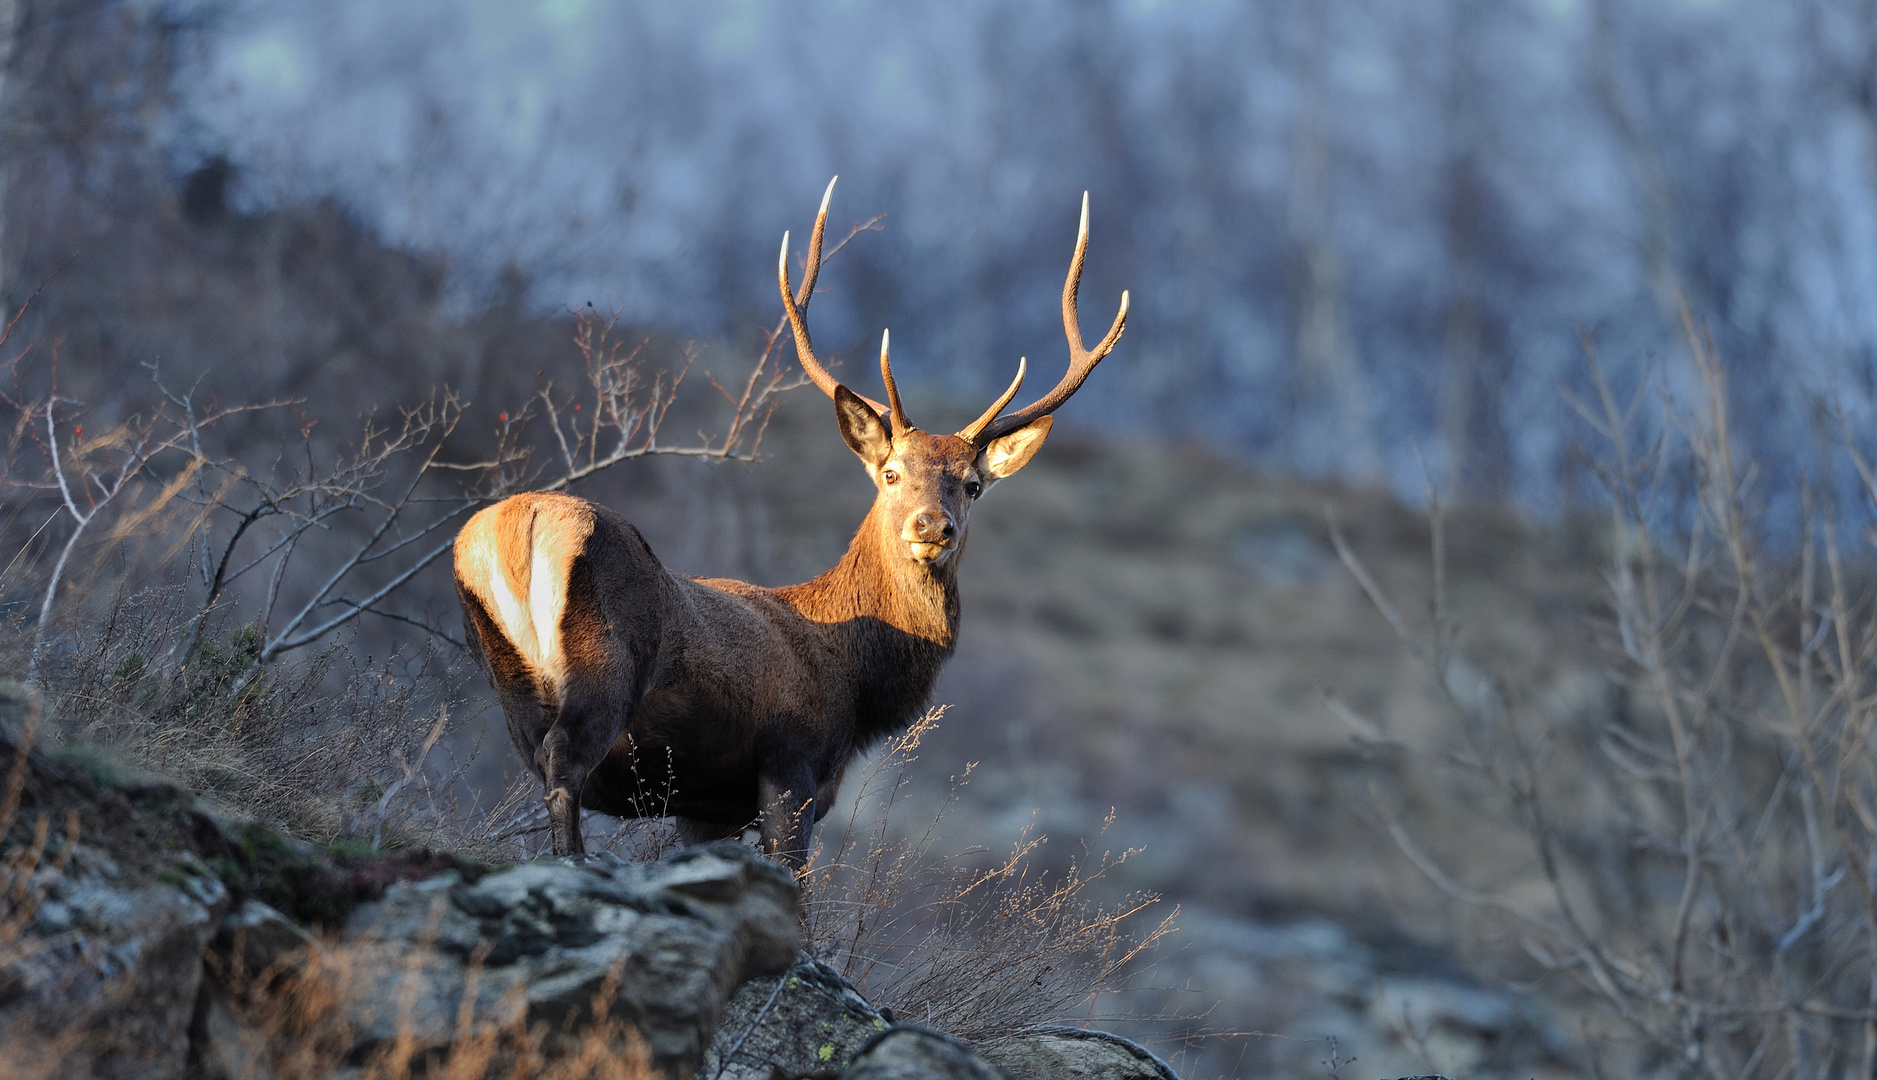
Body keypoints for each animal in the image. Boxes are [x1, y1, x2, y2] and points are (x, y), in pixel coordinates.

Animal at [454, 179, 1126, 871]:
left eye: (971, 485)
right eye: (890, 473)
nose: (931, 526)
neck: (856, 686)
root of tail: (518, 525)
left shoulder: (704, 808)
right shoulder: (792, 762)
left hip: (508, 679)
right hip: (604, 660)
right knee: (564, 759)